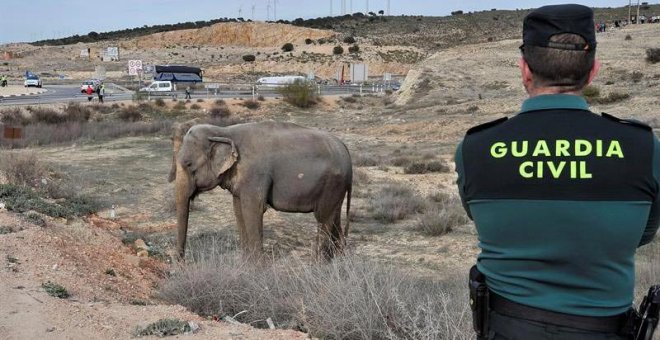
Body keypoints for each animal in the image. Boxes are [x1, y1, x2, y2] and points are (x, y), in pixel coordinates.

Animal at [170, 121, 354, 262]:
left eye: (188, 164)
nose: (181, 263)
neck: (224, 131)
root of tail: (346, 150)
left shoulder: (255, 174)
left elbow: (253, 210)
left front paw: (257, 267)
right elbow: (239, 210)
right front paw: (245, 263)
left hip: (332, 183)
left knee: (323, 218)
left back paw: (317, 264)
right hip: (337, 188)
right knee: (334, 216)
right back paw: (337, 259)